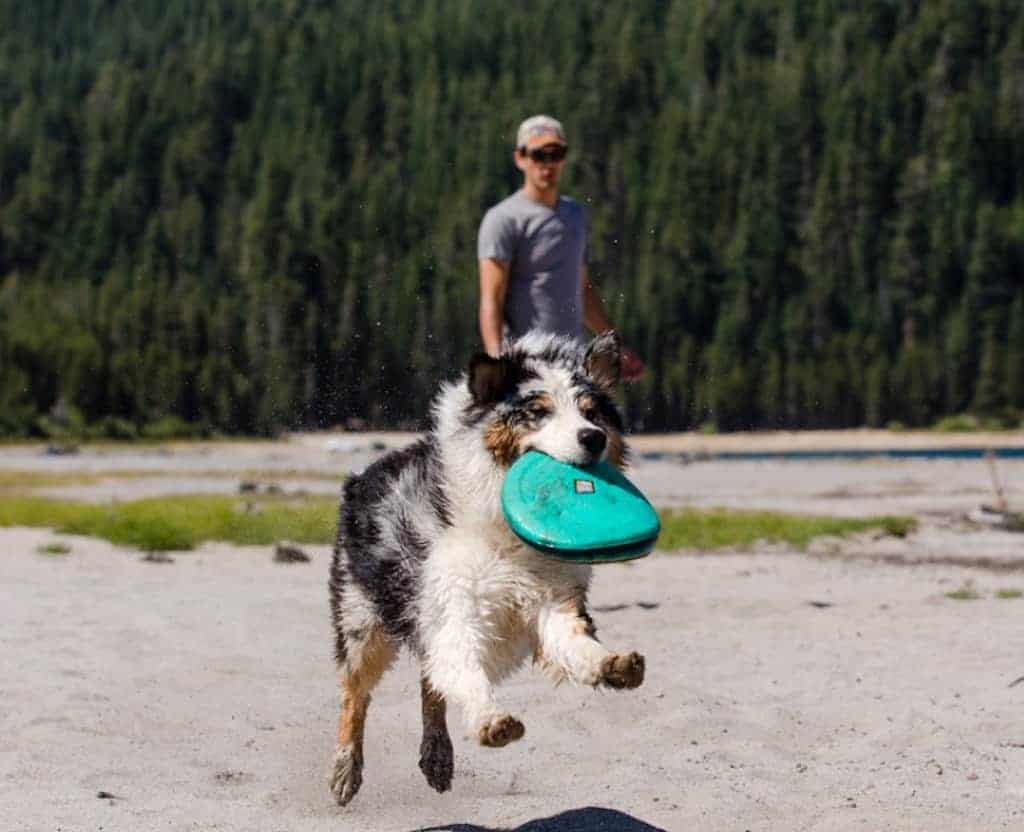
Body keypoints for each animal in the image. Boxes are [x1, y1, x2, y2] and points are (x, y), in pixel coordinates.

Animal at [325, 331, 638, 807]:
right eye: (538, 412)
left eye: (592, 411)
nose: (593, 438)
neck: (506, 532)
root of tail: (364, 473)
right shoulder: (451, 602)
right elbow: (463, 668)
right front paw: (492, 719)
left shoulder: (555, 597)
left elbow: (574, 641)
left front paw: (612, 664)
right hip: (363, 618)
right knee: (355, 692)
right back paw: (346, 768)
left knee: (429, 681)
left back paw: (437, 754)